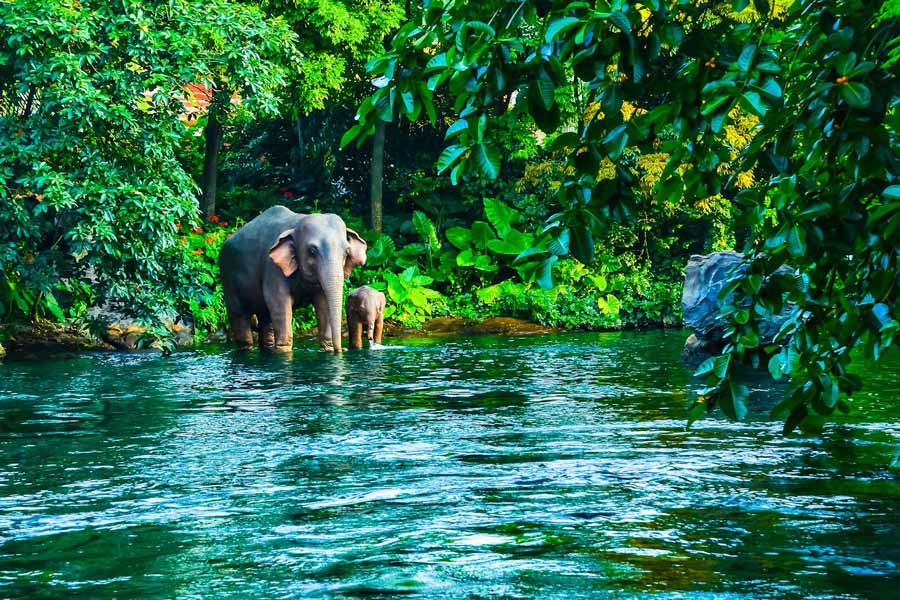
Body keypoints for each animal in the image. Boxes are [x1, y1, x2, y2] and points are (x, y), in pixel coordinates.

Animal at [218, 206, 366, 352]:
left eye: (347, 252)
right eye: (312, 251)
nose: (342, 349)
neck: (296, 224)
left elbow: (323, 302)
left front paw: (327, 348)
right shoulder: (273, 268)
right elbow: (278, 302)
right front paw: (284, 350)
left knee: (265, 317)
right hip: (227, 277)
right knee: (239, 316)